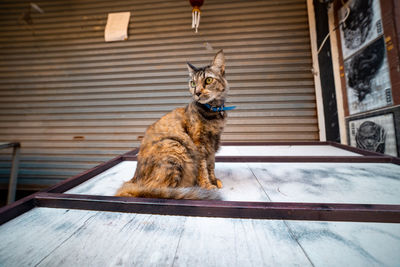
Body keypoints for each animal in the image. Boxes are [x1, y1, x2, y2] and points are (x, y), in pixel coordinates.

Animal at [115, 50, 233, 201]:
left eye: (208, 80)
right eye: (193, 83)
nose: (197, 92)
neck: (213, 112)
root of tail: (133, 182)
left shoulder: (212, 145)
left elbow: (211, 165)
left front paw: (214, 180)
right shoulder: (199, 145)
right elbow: (203, 168)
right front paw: (207, 186)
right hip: (175, 146)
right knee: (158, 191)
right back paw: (189, 191)